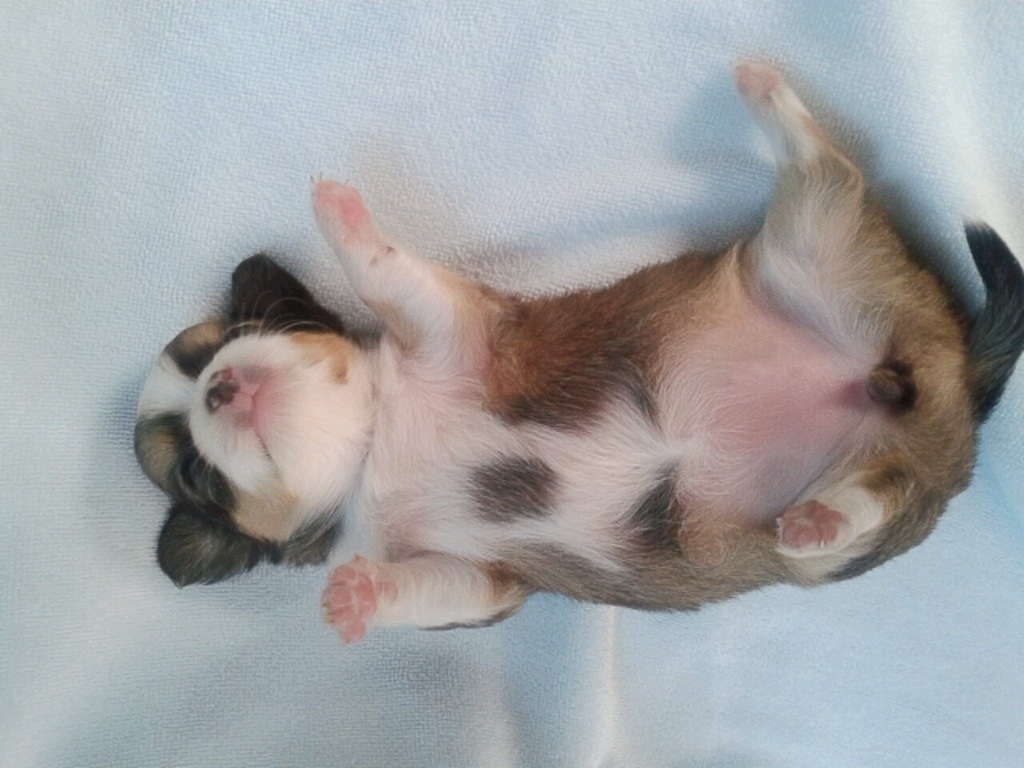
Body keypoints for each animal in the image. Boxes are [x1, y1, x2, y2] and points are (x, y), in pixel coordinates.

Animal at [135, 62, 1024, 642]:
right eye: (196, 475)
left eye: (231, 340)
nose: (220, 390)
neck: (370, 448)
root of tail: (951, 372)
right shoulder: (483, 584)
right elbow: (423, 592)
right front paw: (353, 601)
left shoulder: (455, 330)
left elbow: (388, 271)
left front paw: (339, 214)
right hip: (861, 506)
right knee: (879, 492)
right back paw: (819, 516)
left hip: (812, 247)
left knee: (829, 168)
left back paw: (763, 92)